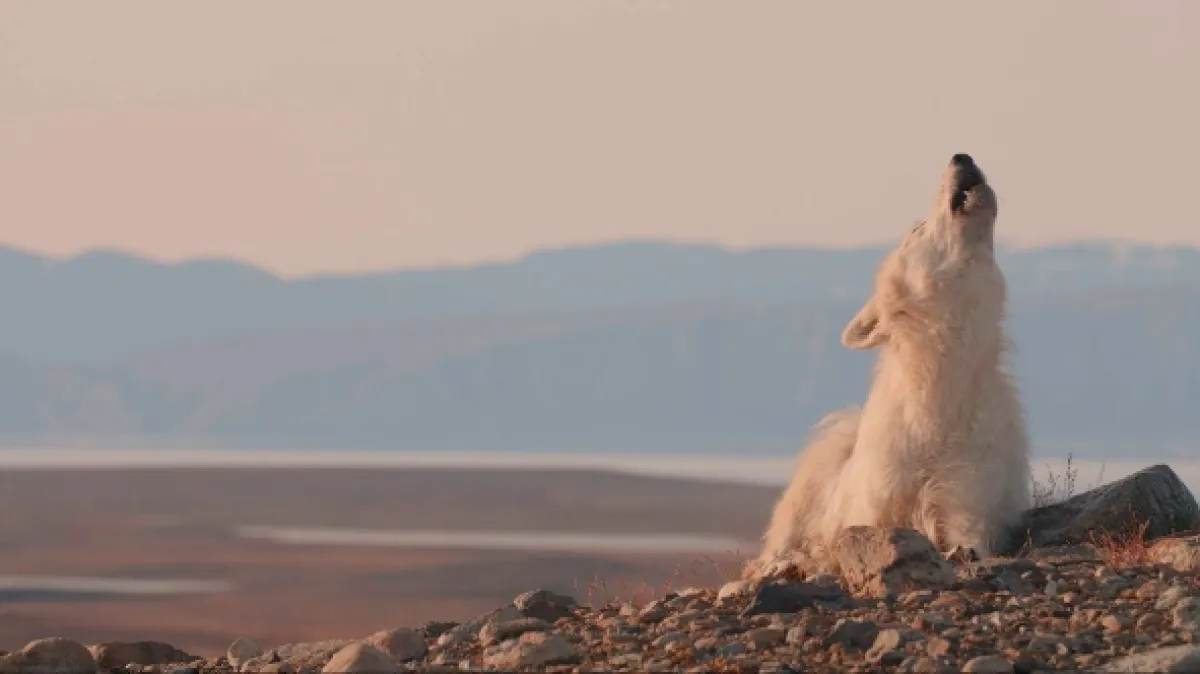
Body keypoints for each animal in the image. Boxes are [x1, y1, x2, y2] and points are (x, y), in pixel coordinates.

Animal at [745, 154, 1031, 579]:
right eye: (916, 229)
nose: (961, 157)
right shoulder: (879, 487)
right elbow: (860, 526)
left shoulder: (974, 472)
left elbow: (969, 526)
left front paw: (962, 550)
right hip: (820, 467)